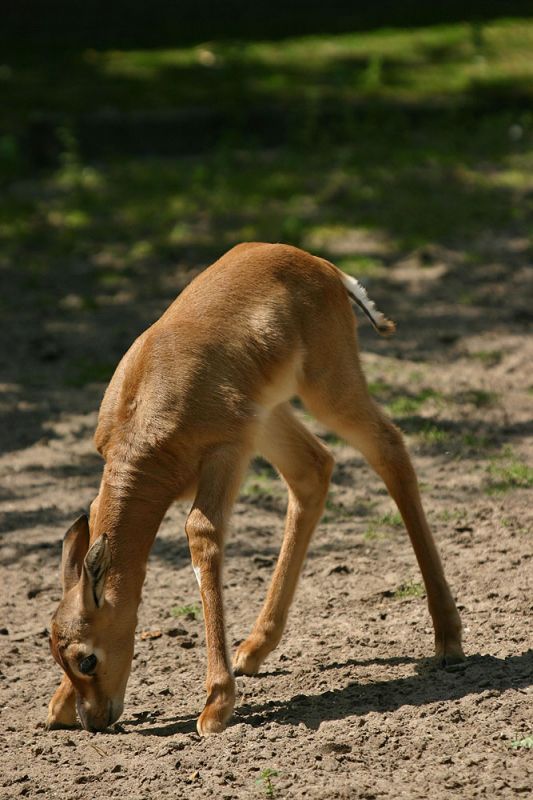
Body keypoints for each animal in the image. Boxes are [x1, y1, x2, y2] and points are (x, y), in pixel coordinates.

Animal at [46, 244, 462, 736]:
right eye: (58, 654)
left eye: (87, 659)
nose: (94, 720)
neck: (146, 409)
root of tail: (320, 264)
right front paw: (57, 706)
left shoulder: (226, 455)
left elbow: (201, 535)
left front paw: (215, 706)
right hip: (270, 418)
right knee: (314, 469)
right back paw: (253, 649)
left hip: (325, 392)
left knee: (389, 448)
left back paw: (449, 640)